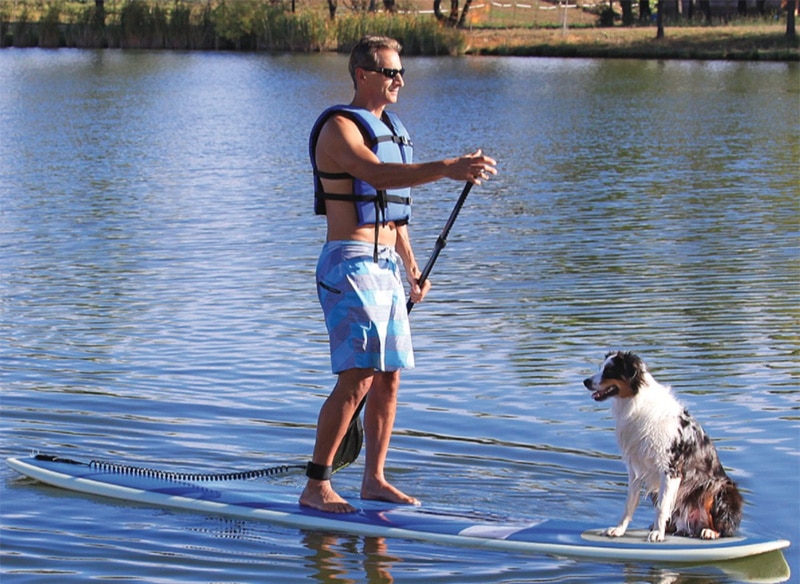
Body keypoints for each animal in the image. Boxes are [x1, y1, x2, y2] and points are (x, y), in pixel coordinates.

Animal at [580, 350, 744, 540]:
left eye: (610, 370)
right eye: (601, 368)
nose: (585, 381)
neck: (636, 403)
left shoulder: (670, 468)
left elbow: (662, 506)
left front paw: (658, 533)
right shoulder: (635, 468)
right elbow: (630, 503)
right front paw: (619, 529)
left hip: (721, 487)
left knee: (725, 528)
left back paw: (709, 531)